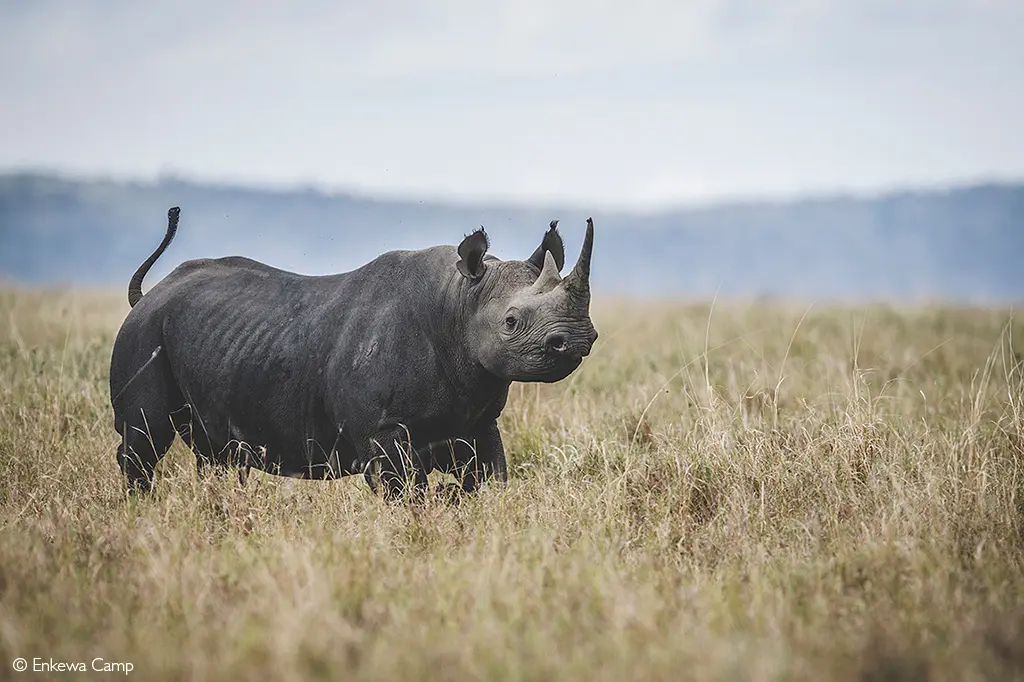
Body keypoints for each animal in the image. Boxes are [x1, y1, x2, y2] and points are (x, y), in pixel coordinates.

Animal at [109, 207, 598, 499]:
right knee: (144, 439)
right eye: (511, 322)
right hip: (142, 332)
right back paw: (141, 509)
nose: (576, 339)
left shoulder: (476, 417)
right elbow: (407, 491)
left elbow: (491, 479)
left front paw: (457, 499)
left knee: (216, 456)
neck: (460, 300)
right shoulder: (381, 432)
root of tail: (149, 296)